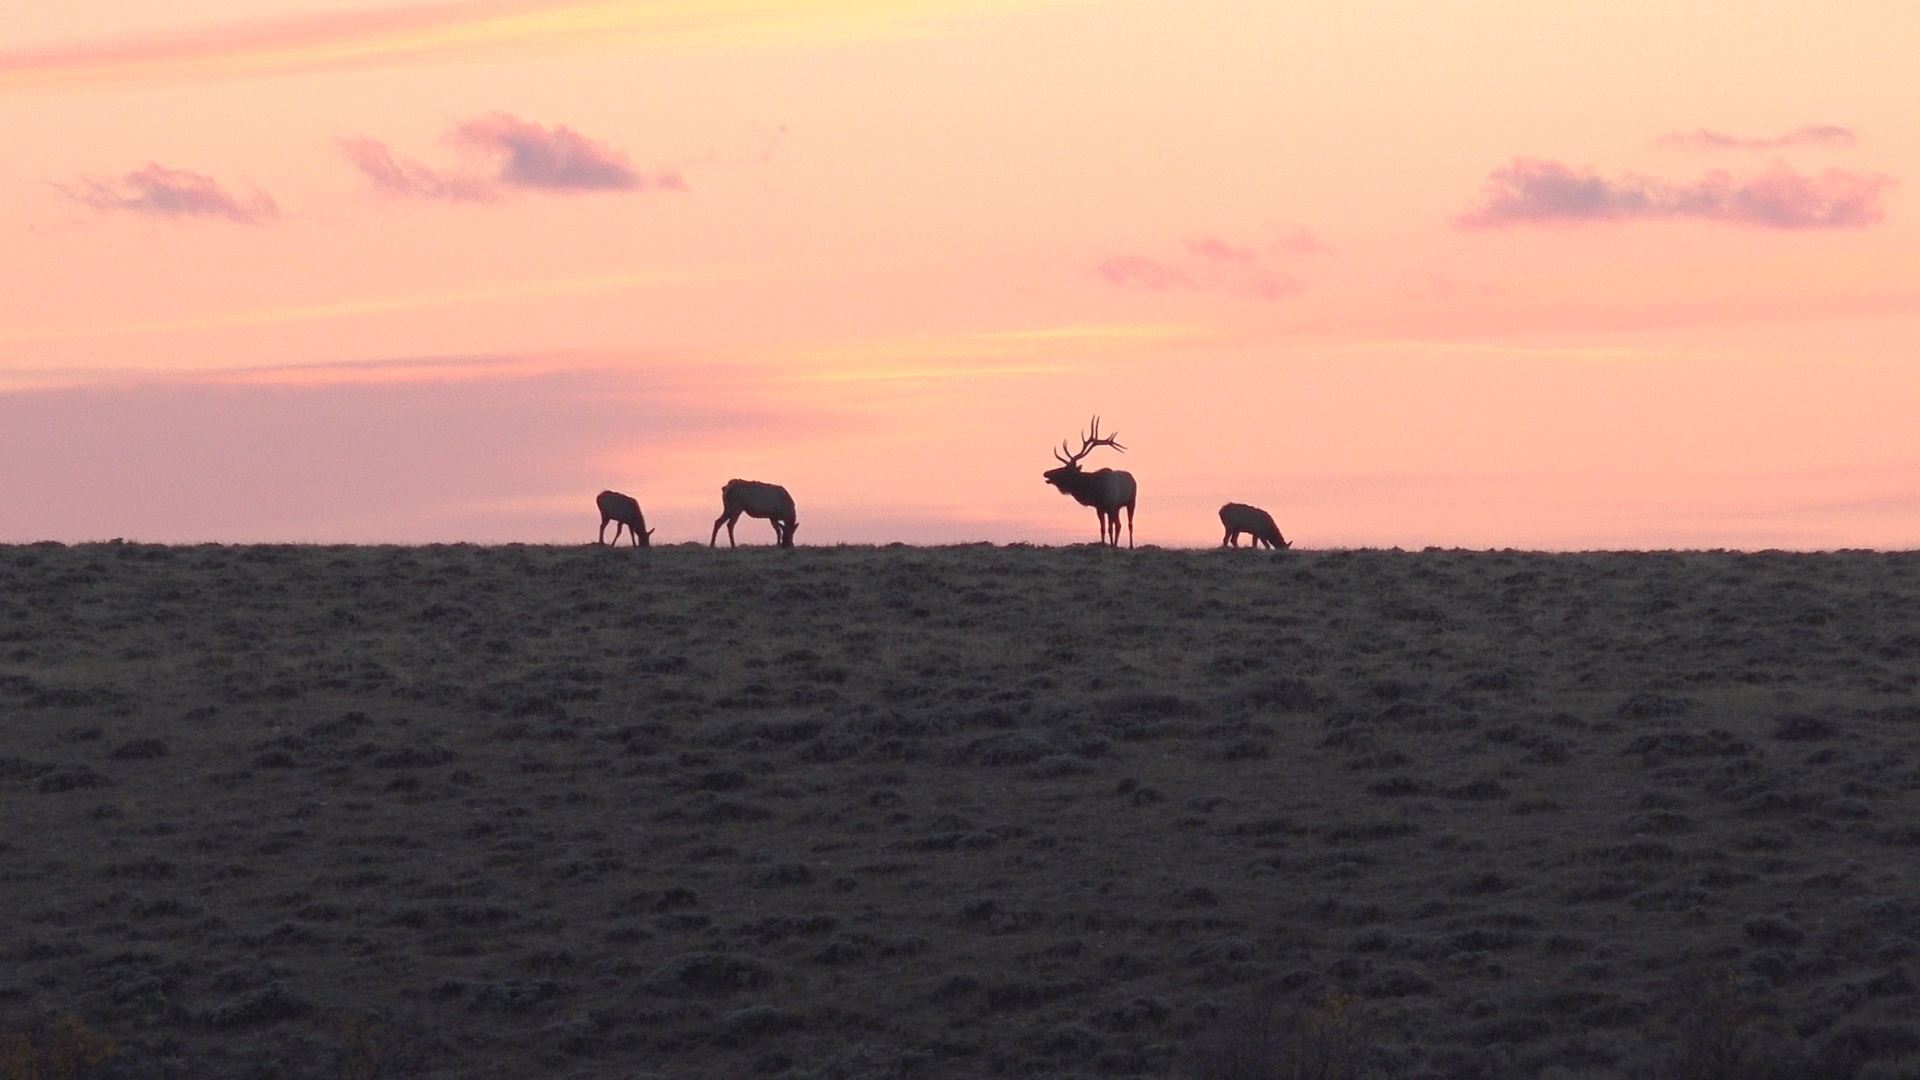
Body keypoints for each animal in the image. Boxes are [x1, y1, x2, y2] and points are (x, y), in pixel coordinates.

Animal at [1042, 416, 1136, 548]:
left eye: (1064, 470)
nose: (1046, 473)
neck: (1095, 489)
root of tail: (1133, 478)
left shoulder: (1109, 505)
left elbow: (1111, 527)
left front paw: (1111, 546)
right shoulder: (1100, 507)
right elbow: (1103, 528)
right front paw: (1104, 544)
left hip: (1131, 502)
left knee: (1128, 524)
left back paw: (1130, 546)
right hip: (1117, 507)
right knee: (1118, 524)